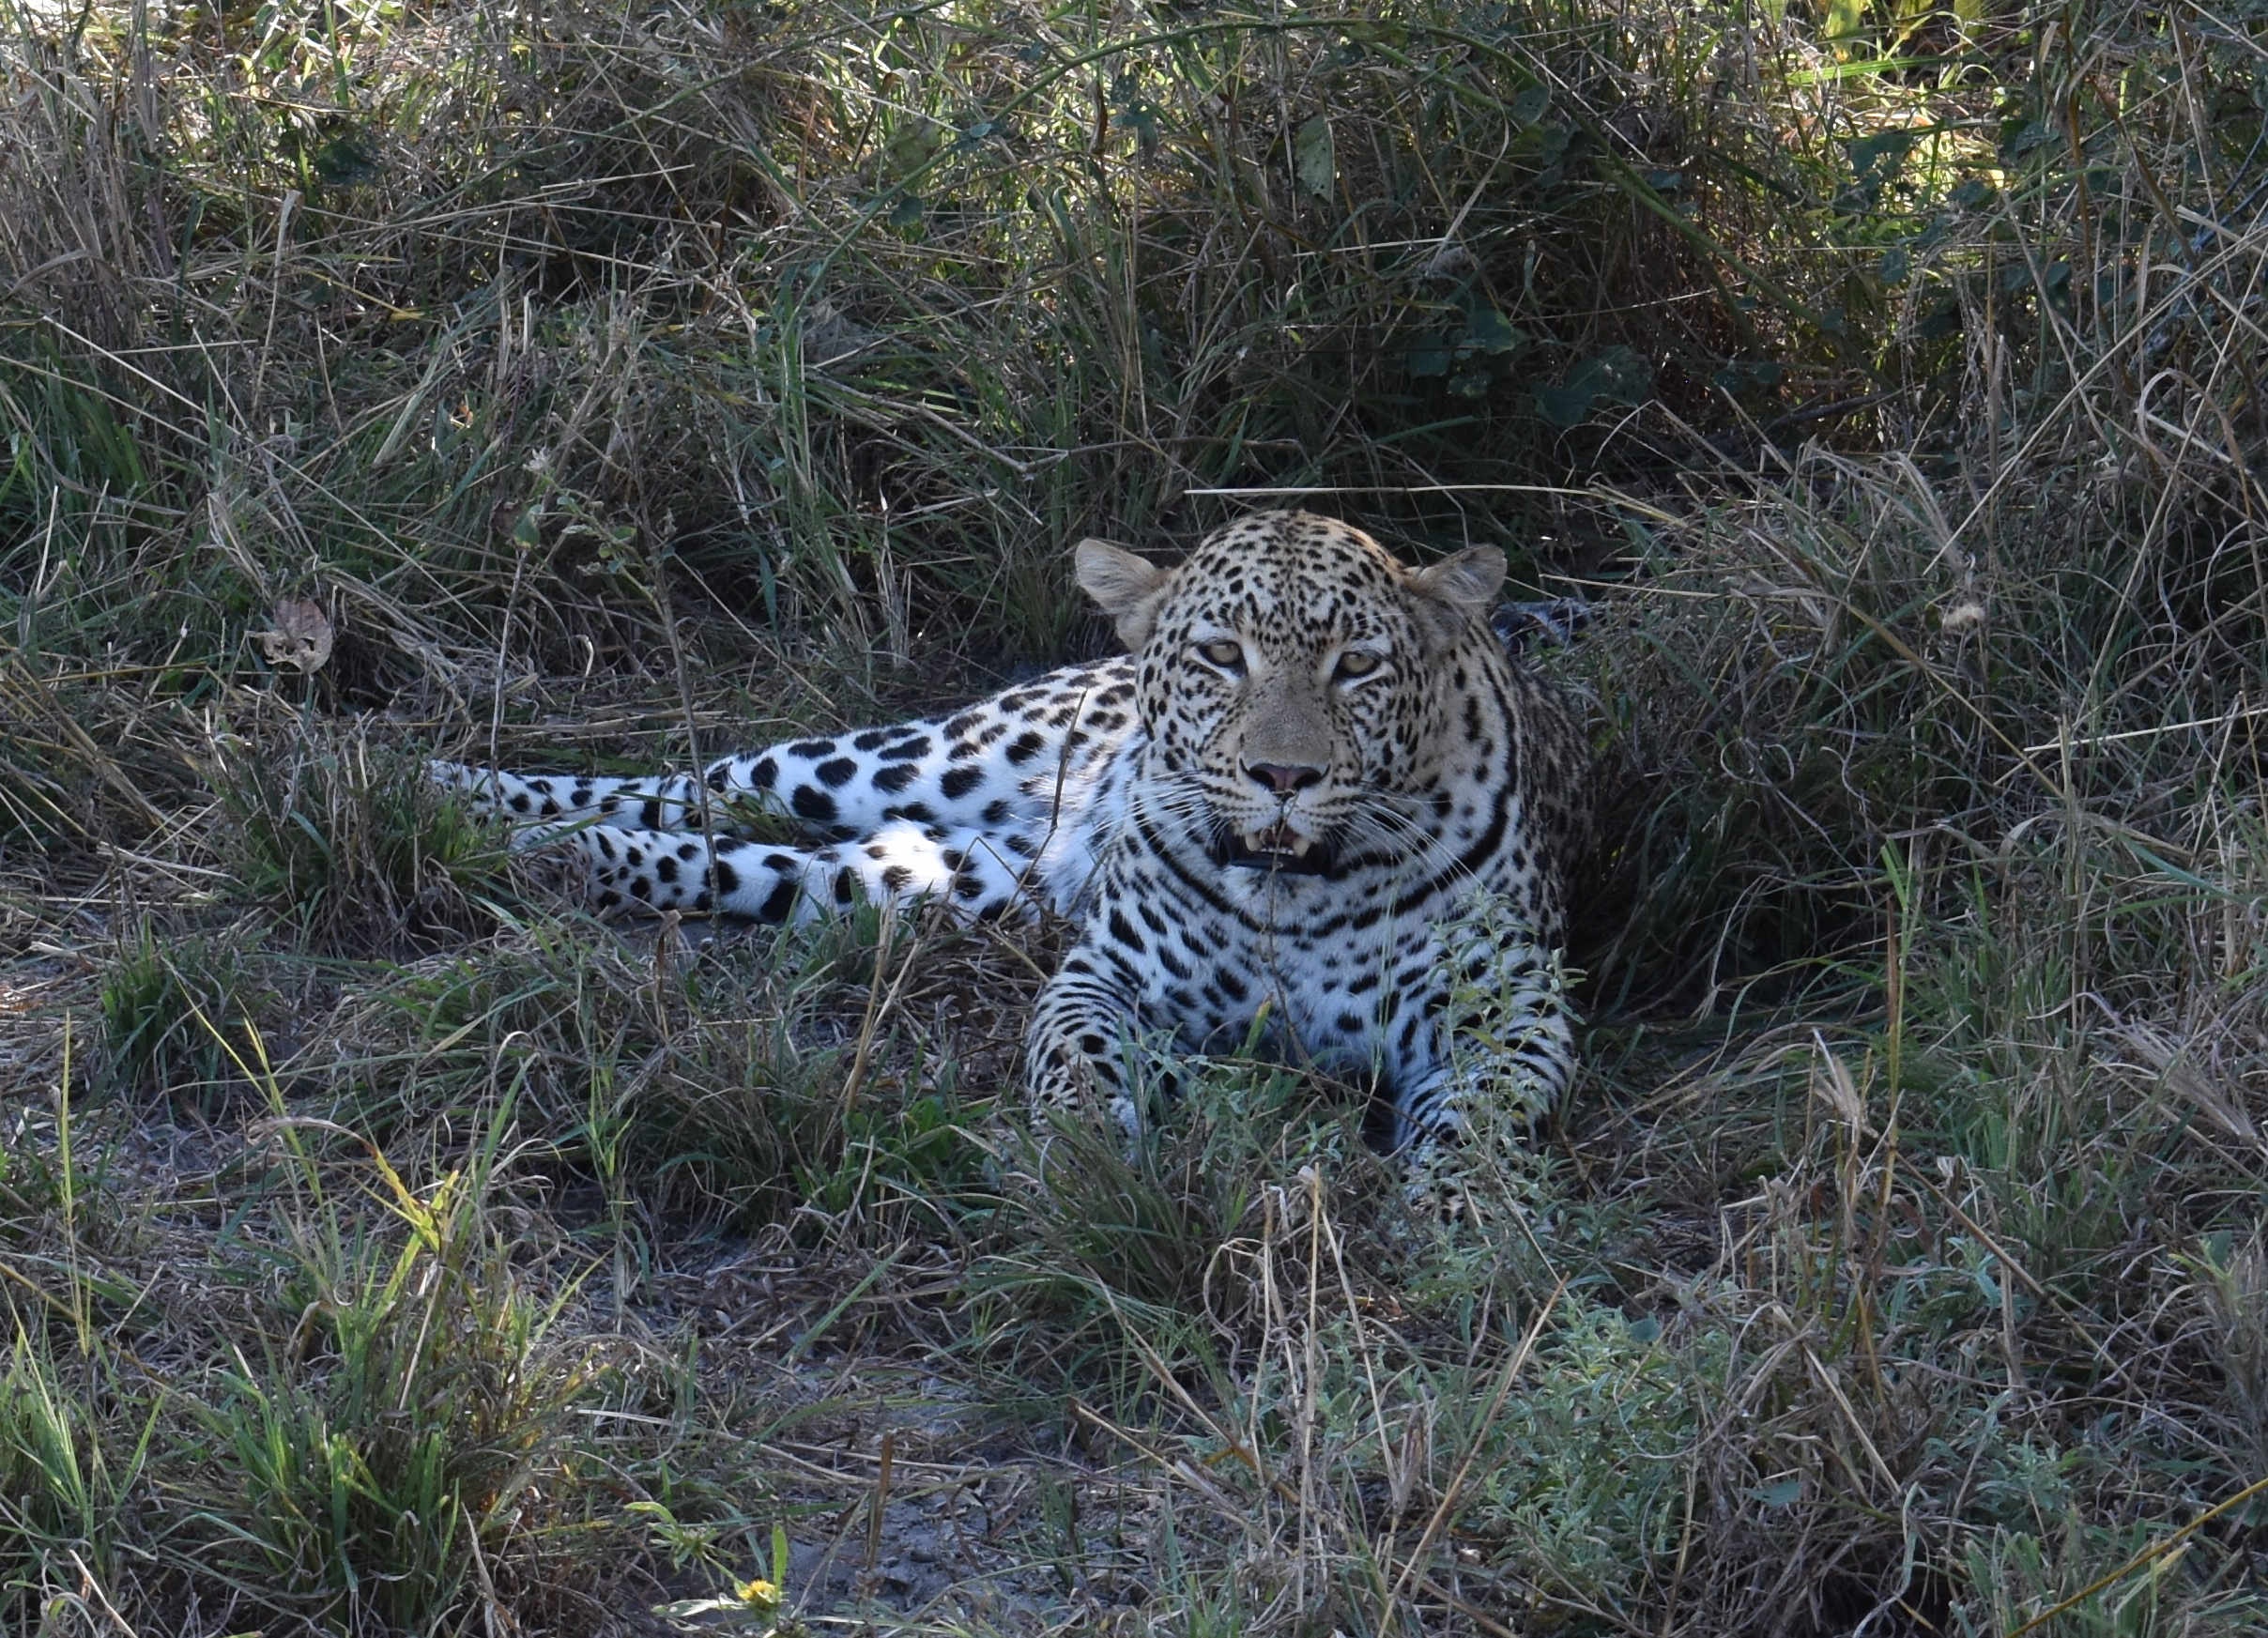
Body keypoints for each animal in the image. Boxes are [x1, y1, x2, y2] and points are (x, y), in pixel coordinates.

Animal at [433, 510, 1587, 1161]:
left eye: (1358, 665)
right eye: (1222, 656)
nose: (1285, 777)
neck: (1294, 895)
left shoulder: (1515, 1014)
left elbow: (1481, 1121)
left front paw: (1455, 1222)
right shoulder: (1104, 976)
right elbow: (1073, 1059)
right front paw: (1089, 1152)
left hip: (942, 878)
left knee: (743, 858)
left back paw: (561, 856)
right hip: (900, 762)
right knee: (699, 778)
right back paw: (448, 791)